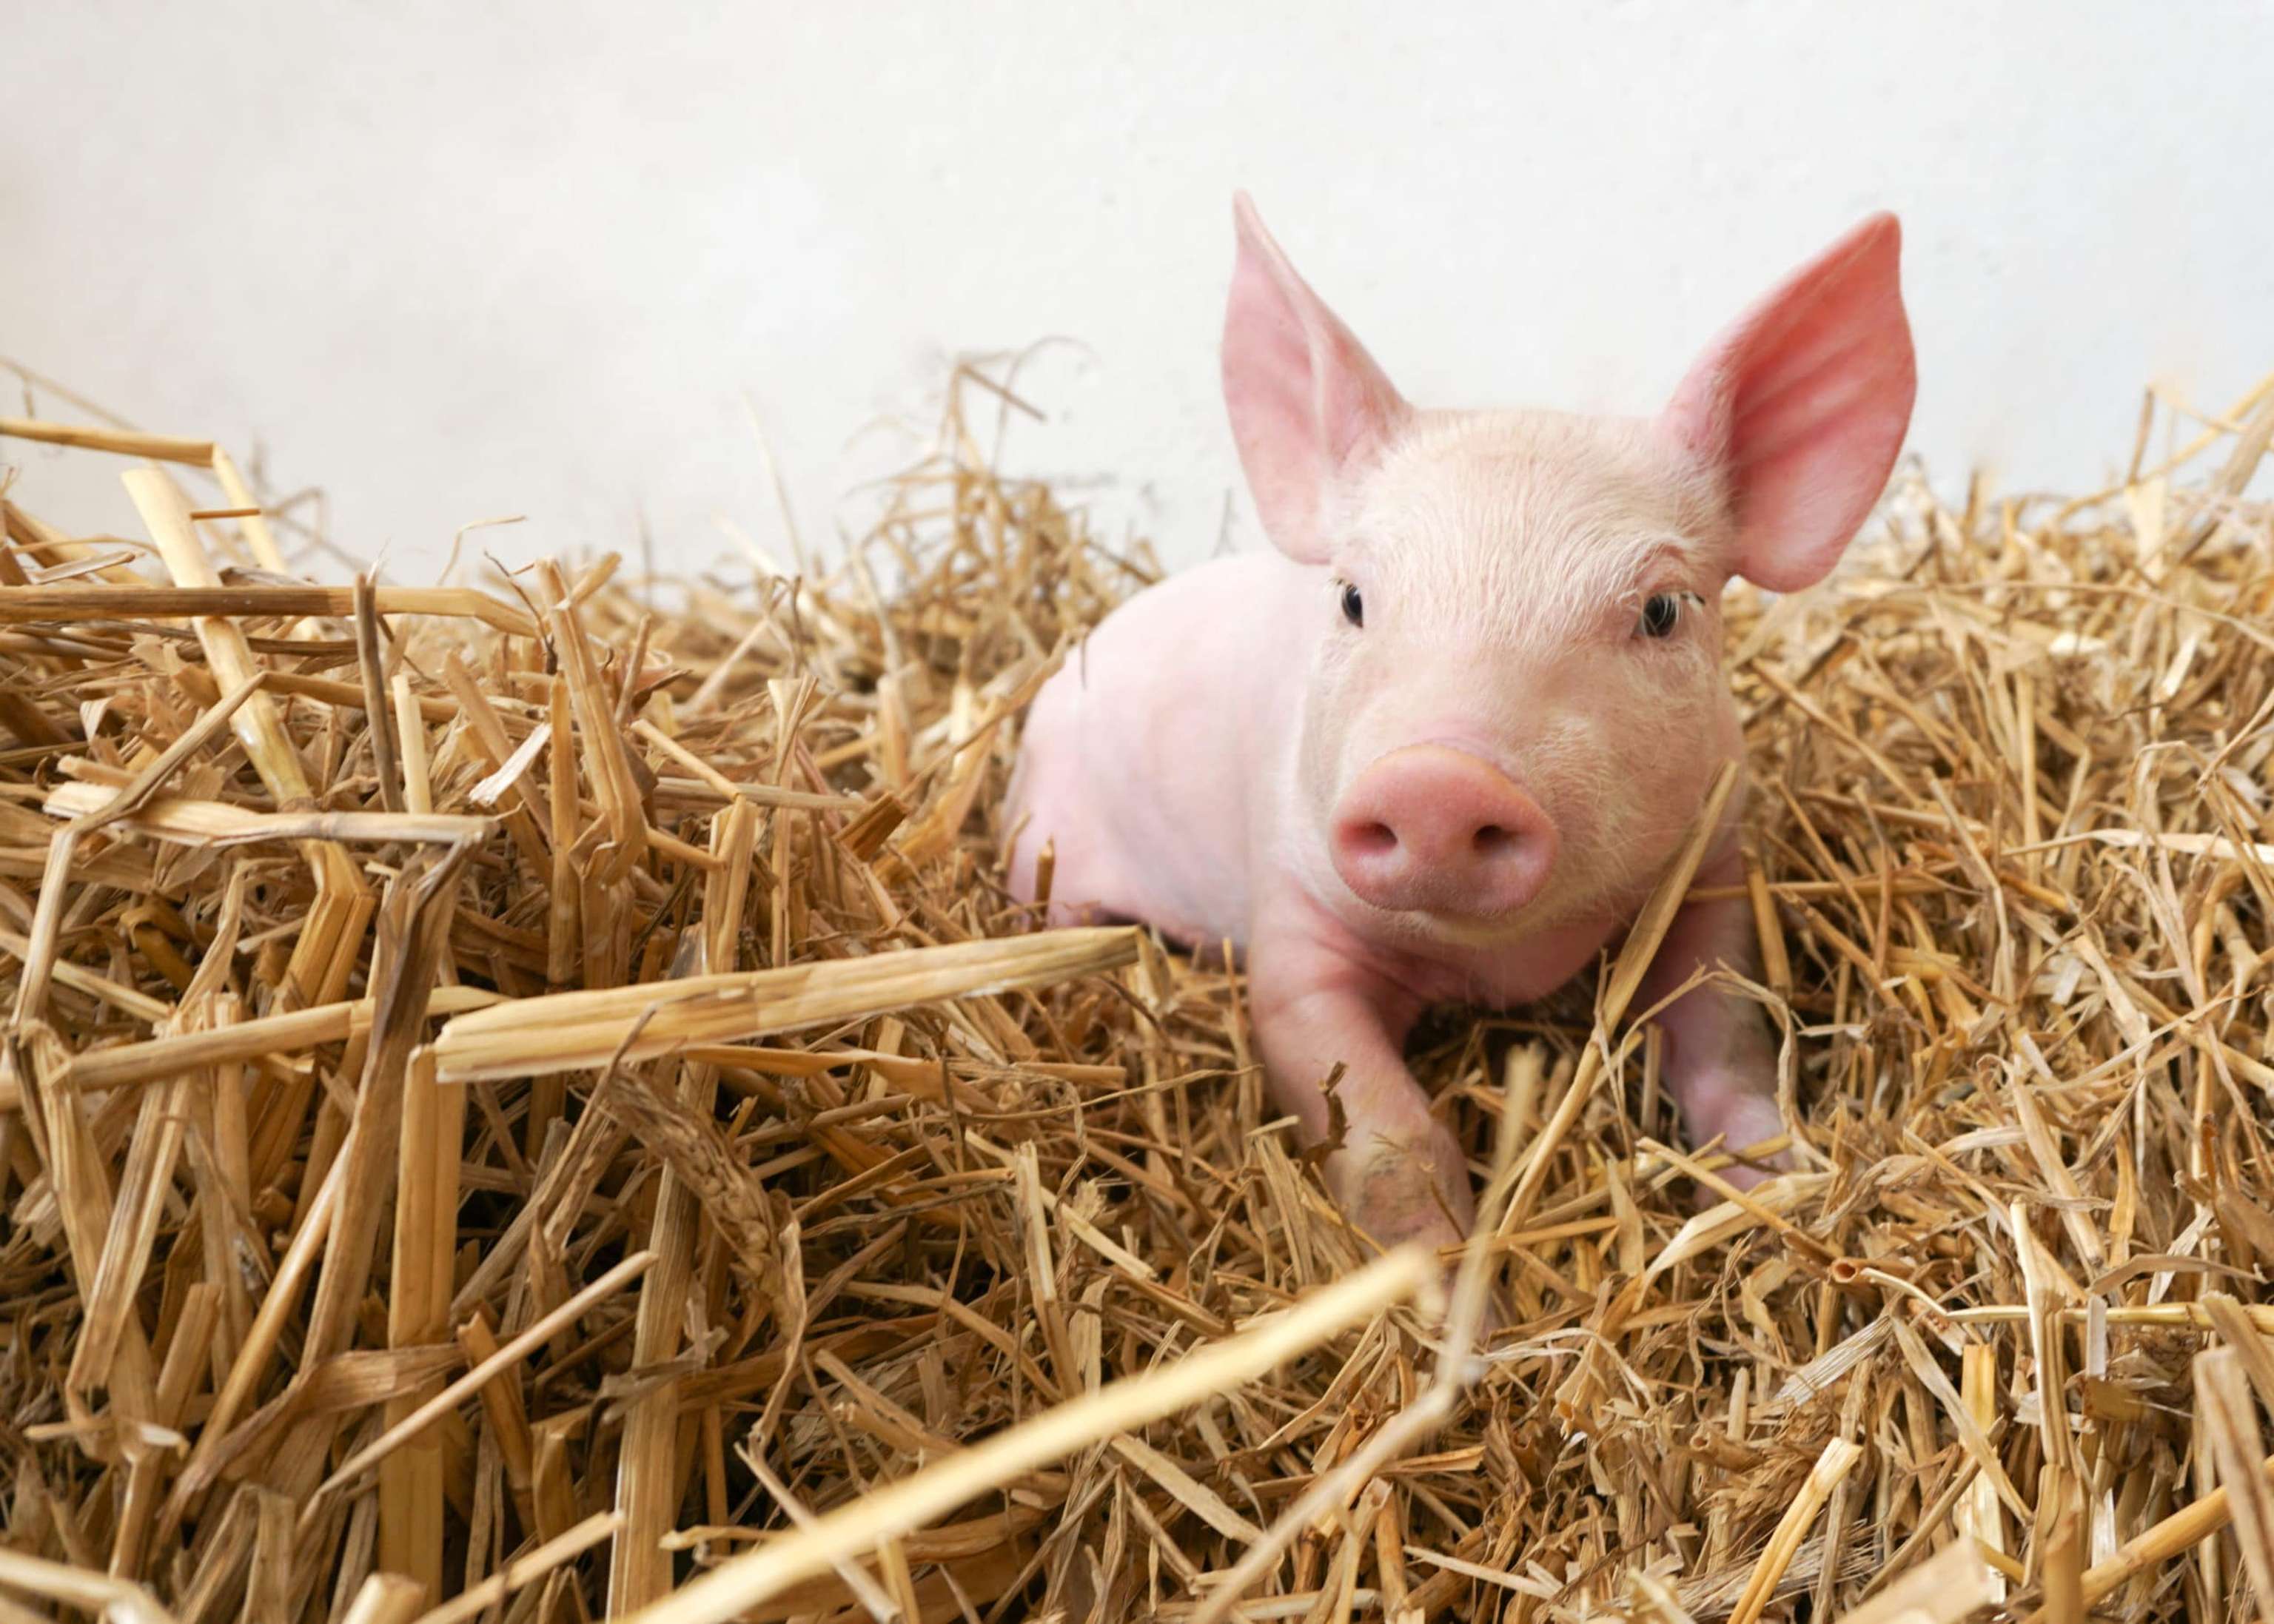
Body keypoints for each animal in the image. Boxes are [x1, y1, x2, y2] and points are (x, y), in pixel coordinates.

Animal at [1004, 195, 1914, 1251]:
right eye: (1354, 598)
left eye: (1661, 610)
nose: (1439, 779)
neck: (1501, 964)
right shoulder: (1295, 923)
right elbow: (1386, 1133)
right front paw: (1437, 1285)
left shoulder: (1711, 871)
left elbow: (1725, 1043)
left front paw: (1774, 1191)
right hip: (1041, 843)